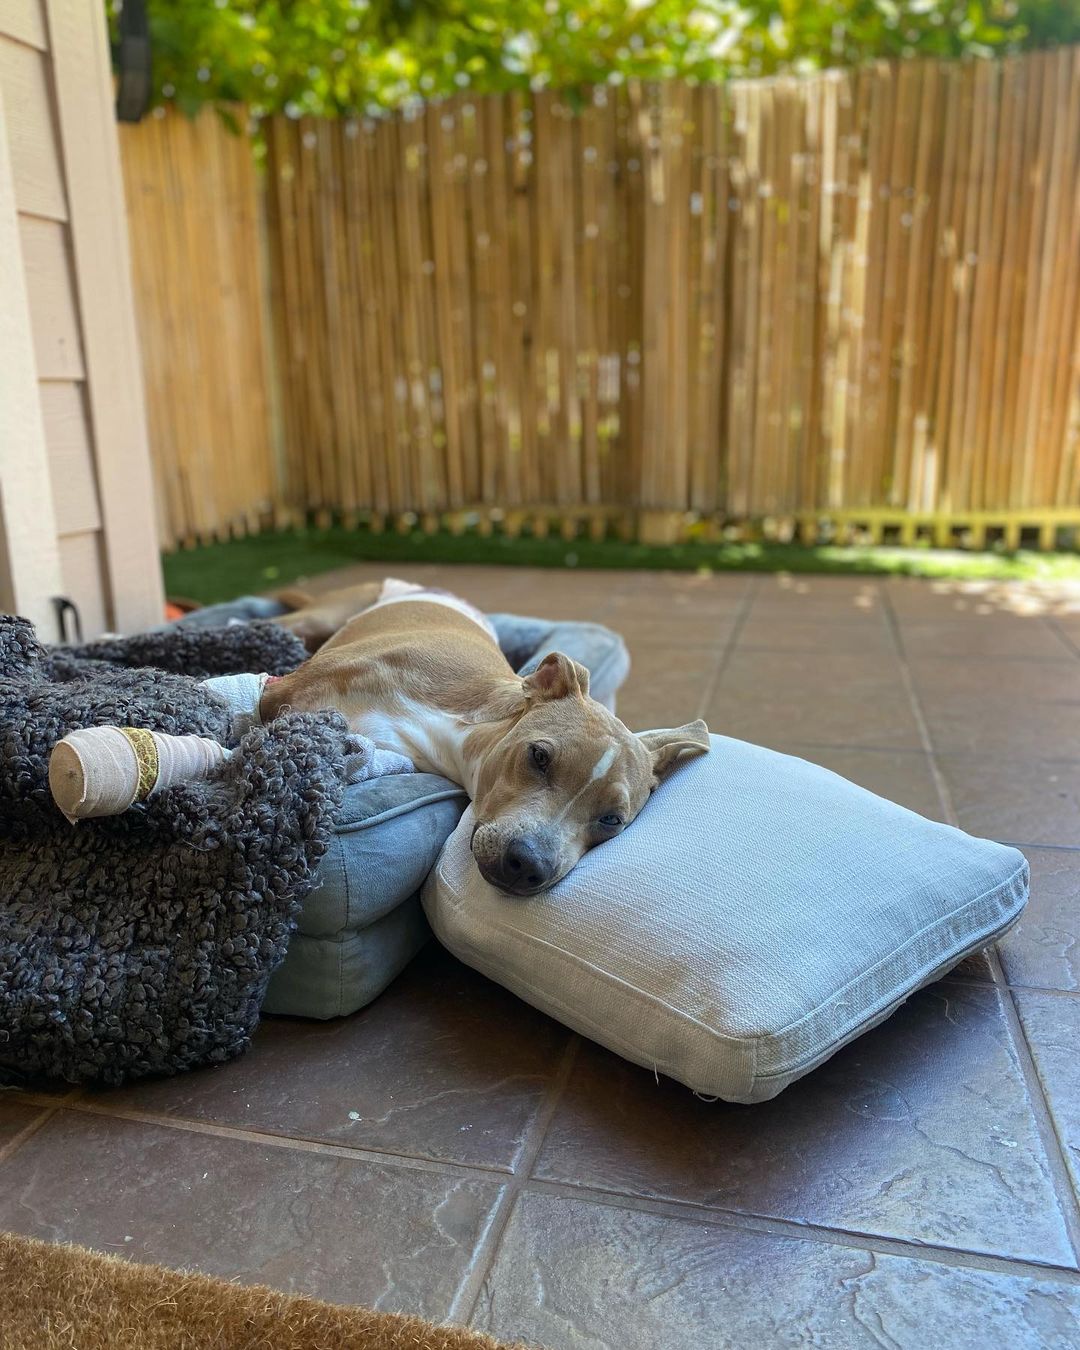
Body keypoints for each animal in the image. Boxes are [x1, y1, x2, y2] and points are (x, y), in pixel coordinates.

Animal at [264, 580, 712, 896]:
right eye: (538, 756)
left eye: (612, 820)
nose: (529, 864)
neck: (454, 725)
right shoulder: (280, 693)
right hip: (311, 620)